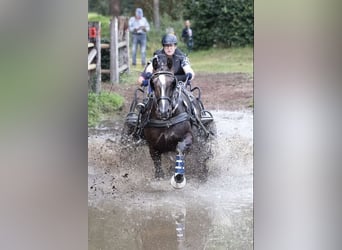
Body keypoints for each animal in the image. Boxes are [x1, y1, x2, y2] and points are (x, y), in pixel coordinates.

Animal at [123, 54, 214, 188]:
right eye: (153, 83)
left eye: (172, 83)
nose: (163, 111)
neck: (166, 121)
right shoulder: (152, 145)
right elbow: (157, 164)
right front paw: (159, 178)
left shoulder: (188, 137)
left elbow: (180, 149)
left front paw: (179, 176)